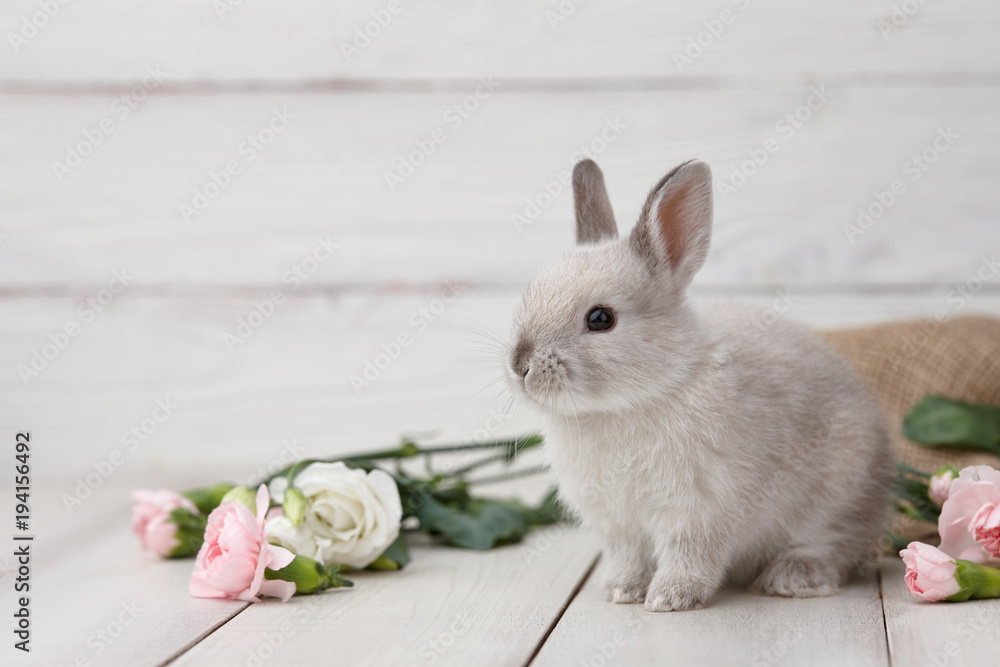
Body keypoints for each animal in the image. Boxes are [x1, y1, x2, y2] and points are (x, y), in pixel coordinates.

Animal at [503, 159, 893, 611]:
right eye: (530, 296)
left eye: (601, 319)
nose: (520, 365)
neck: (635, 398)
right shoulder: (619, 525)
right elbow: (628, 557)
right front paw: (620, 591)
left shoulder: (700, 510)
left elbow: (690, 554)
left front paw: (670, 598)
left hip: (837, 501)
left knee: (835, 547)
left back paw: (791, 577)